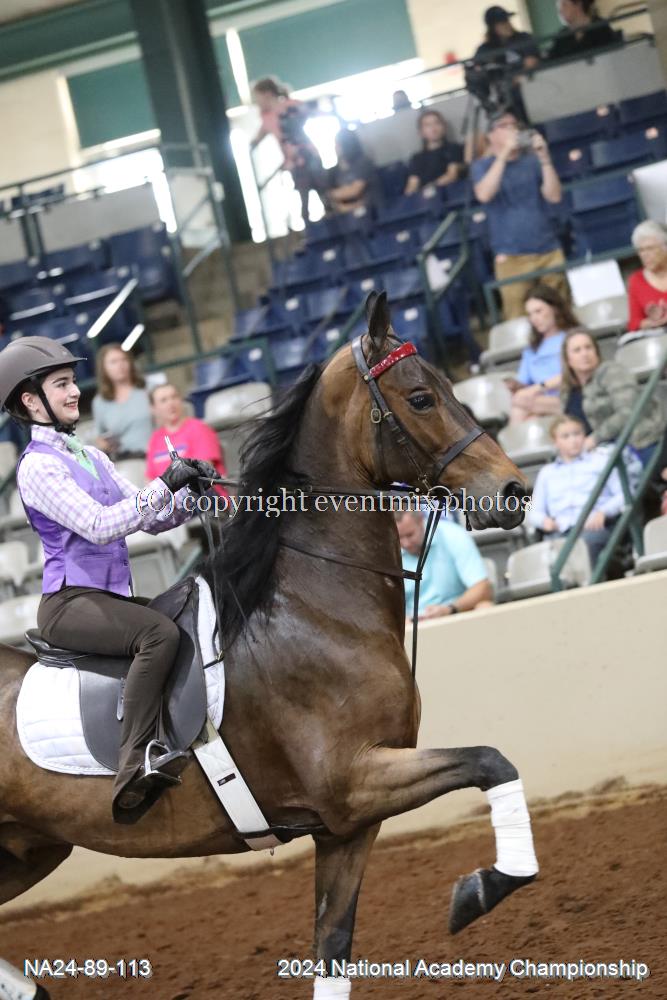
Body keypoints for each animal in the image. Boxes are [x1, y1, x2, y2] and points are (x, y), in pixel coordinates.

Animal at [0, 293, 537, 999]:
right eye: (421, 398)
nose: (515, 492)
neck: (314, 611)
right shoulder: (353, 782)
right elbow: (491, 761)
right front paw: (482, 888)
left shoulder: (347, 826)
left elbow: (332, 951)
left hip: (27, 849)